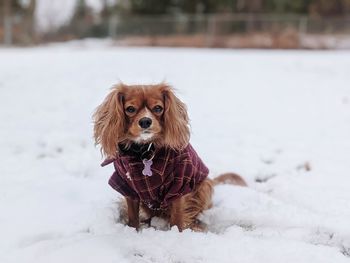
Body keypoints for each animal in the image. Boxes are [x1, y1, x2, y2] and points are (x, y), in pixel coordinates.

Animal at [93, 83, 246, 232]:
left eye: (158, 108)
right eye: (130, 109)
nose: (145, 121)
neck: (145, 152)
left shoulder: (179, 185)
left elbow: (177, 217)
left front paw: (177, 233)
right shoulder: (126, 186)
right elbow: (132, 216)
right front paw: (133, 230)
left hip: (203, 187)